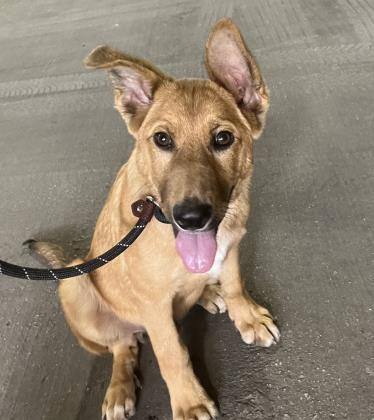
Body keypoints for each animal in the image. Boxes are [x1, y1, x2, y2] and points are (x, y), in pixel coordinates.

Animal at [30, 17, 280, 420]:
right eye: (162, 140)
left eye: (223, 139)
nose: (191, 217)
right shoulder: (153, 306)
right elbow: (171, 352)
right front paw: (190, 401)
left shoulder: (231, 245)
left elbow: (235, 283)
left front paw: (247, 316)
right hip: (75, 283)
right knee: (123, 345)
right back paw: (119, 388)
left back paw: (208, 292)